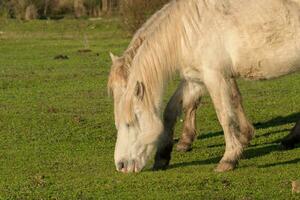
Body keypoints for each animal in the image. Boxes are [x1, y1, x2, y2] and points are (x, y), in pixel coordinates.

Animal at [108, 0, 300, 173]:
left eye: (130, 123)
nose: (121, 165)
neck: (188, 30)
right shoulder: (196, 80)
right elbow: (172, 111)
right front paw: (163, 157)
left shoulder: (215, 76)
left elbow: (225, 116)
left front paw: (229, 158)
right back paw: (290, 139)